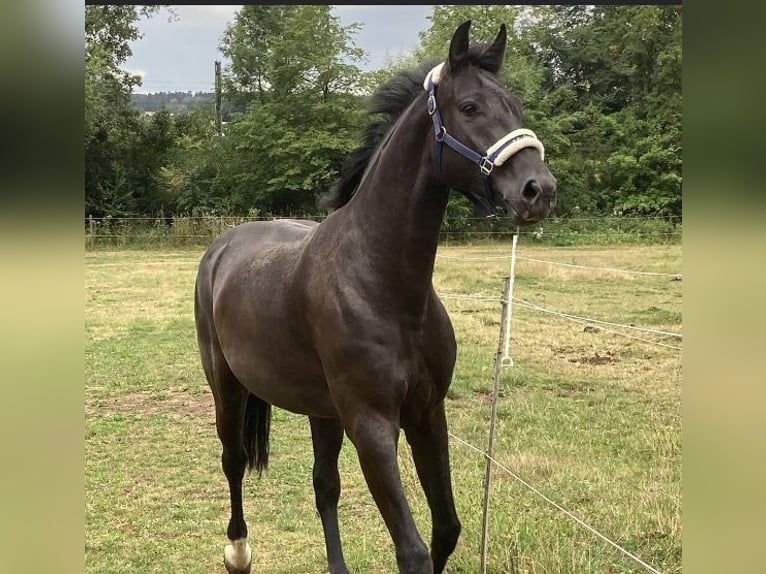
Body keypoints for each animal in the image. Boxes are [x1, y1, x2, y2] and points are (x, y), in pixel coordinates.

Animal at [194, 21, 557, 574]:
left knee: (324, 485)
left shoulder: (427, 414)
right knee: (233, 461)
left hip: (321, 410)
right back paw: (238, 551)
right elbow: (412, 551)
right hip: (228, 387)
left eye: (515, 105)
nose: (539, 190)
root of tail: (223, 247)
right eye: (470, 107)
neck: (385, 286)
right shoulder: (372, 426)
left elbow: (446, 529)